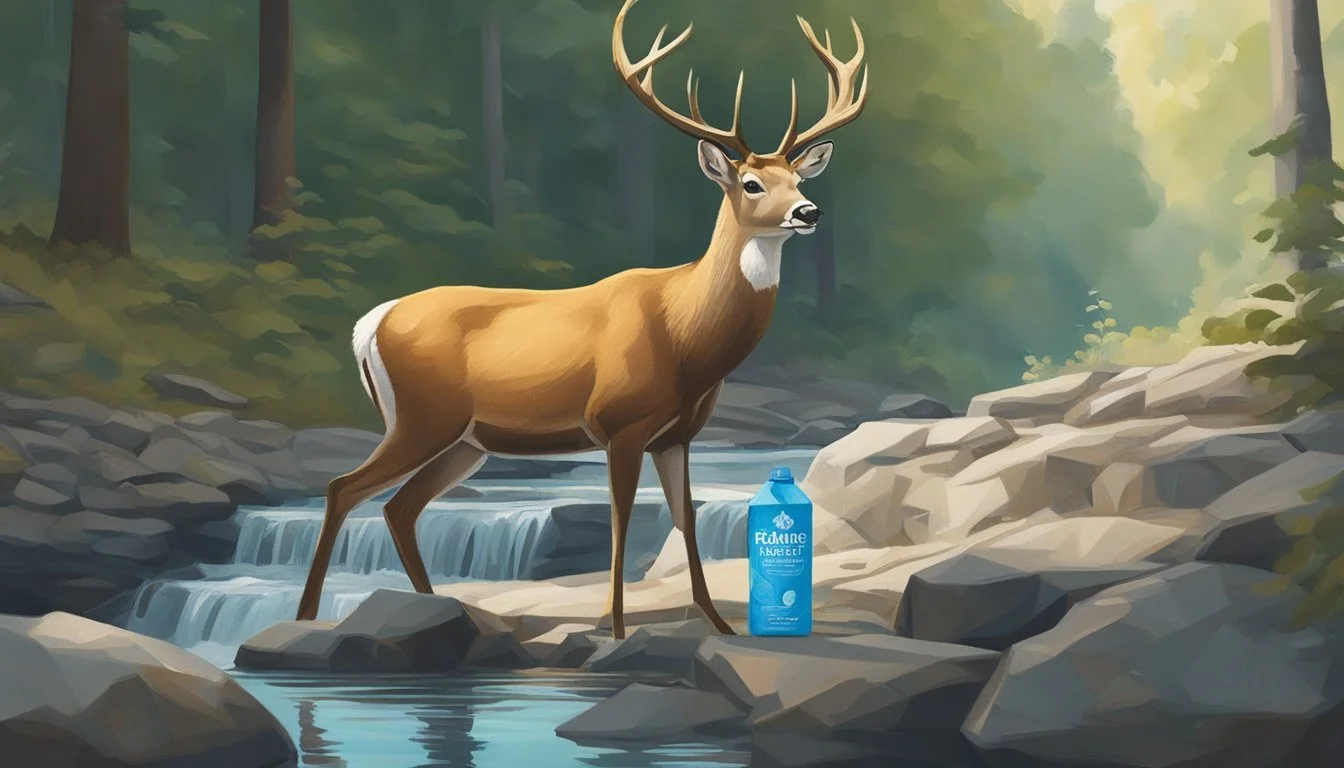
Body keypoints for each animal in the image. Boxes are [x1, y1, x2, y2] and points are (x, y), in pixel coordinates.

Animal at [294, 0, 869, 639]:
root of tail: (371, 322)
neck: (686, 334)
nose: (809, 212)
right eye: (750, 183)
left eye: (797, 179)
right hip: (423, 417)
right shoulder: (619, 422)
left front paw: (718, 624)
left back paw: (439, 606)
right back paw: (308, 614)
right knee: (343, 488)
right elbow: (622, 520)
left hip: (466, 440)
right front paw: (615, 627)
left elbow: (685, 519)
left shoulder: (677, 435)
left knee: (400, 507)